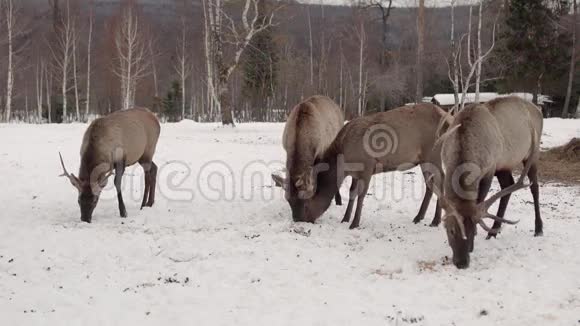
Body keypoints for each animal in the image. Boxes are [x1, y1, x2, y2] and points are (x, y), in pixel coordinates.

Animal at [302, 103, 450, 228]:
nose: (300, 218)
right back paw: (419, 217)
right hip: (423, 160)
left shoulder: (367, 166)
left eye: (305, 201)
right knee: (430, 184)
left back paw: (435, 220)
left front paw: (355, 223)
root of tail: (446, 117)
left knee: (441, 179)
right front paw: (345, 218)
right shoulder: (355, 173)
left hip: (433, 154)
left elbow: (361, 194)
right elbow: (351, 192)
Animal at [432, 95, 548, 268]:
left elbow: (480, 200)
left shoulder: (489, 169)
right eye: (451, 230)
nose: (462, 263)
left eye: (473, 231)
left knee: (534, 187)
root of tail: (538, 110)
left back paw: (538, 228)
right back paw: (494, 231)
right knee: (508, 187)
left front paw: (473, 246)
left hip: (532, 154)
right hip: (504, 164)